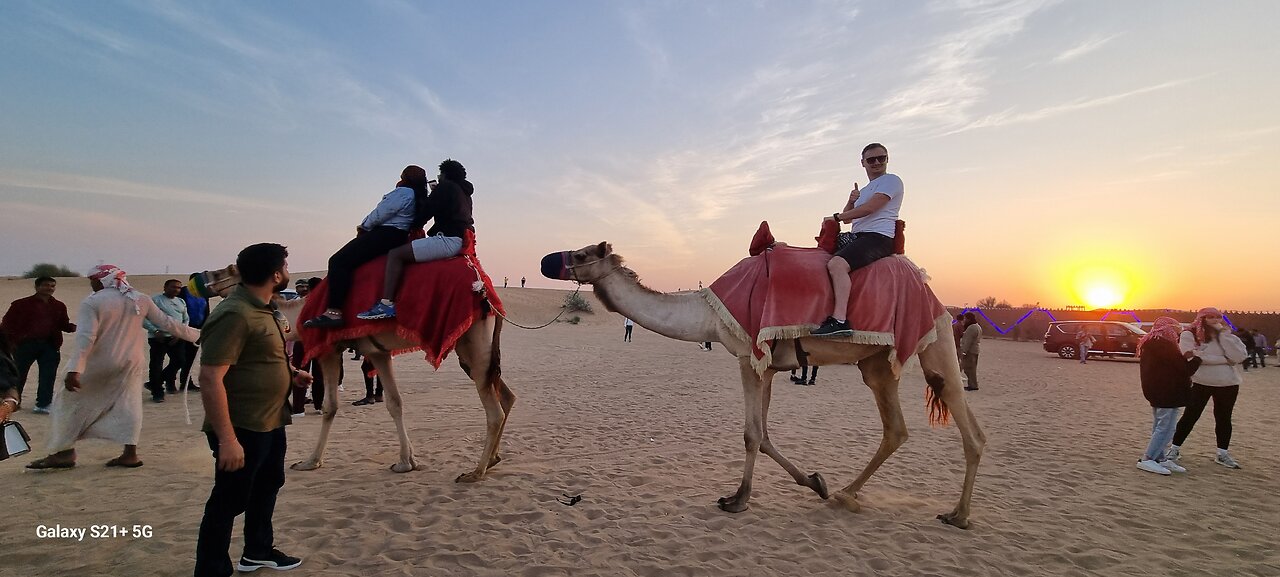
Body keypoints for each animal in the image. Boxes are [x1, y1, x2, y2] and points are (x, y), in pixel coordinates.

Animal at [192, 264, 512, 478]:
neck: (299, 316)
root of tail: (488, 294)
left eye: (226, 271)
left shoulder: (329, 350)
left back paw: (476, 471)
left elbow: (330, 406)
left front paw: (309, 462)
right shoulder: (378, 352)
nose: (200, 277)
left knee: (494, 409)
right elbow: (395, 403)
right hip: (473, 350)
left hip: (473, 341)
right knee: (505, 395)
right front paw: (407, 461)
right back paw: (493, 459)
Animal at [545, 241, 983, 529]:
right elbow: (766, 434)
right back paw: (846, 493)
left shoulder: (748, 357)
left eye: (581, 255)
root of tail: (931, 289)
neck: (708, 312)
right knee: (897, 429)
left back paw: (958, 515)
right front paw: (816, 482)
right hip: (876, 364)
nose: (548, 260)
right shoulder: (769, 365)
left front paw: (737, 500)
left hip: (936, 340)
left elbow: (751, 434)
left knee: (963, 419)